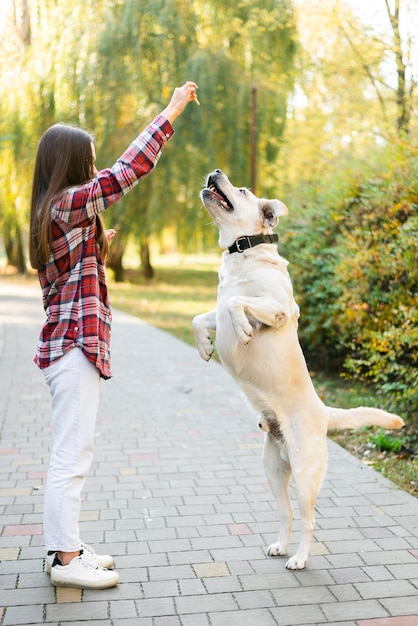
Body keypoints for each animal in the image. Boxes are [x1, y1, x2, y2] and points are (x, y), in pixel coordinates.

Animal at [193, 168, 404, 568]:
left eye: (242, 190)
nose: (215, 172)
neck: (244, 253)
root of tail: (323, 412)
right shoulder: (219, 310)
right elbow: (202, 316)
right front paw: (205, 346)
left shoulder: (277, 308)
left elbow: (236, 304)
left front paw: (242, 330)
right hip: (273, 470)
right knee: (287, 512)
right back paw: (280, 545)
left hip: (305, 477)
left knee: (309, 520)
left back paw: (300, 558)